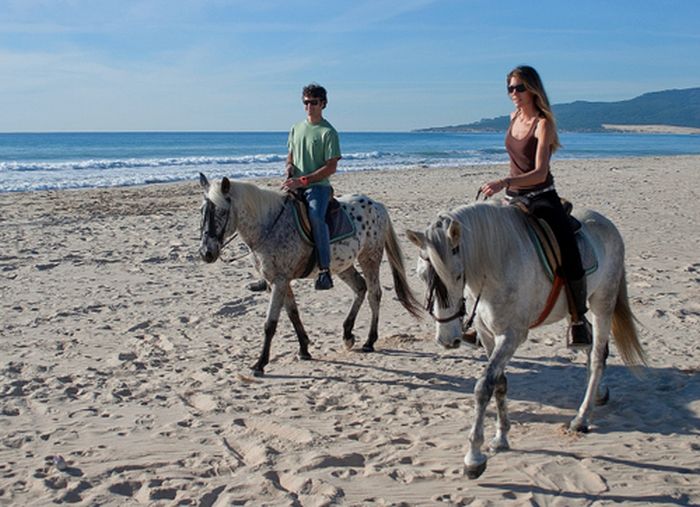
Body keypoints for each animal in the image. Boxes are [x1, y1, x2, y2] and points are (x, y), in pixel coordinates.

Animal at [197, 175, 422, 378]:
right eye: (202, 211)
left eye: (222, 212)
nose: (206, 253)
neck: (269, 225)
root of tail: (377, 205)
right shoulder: (281, 280)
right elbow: (293, 314)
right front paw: (304, 349)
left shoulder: (279, 281)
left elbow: (270, 324)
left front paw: (260, 364)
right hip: (343, 265)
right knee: (360, 287)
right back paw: (348, 335)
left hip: (370, 257)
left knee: (374, 294)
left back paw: (369, 341)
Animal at [408, 199, 648, 480]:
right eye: (421, 275)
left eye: (457, 275)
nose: (447, 340)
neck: (496, 262)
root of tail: (606, 223)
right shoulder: (489, 336)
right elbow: (500, 383)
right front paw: (501, 437)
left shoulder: (512, 336)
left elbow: (484, 387)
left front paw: (474, 458)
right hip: (578, 310)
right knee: (589, 345)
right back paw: (598, 393)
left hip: (603, 302)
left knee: (599, 355)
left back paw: (581, 418)